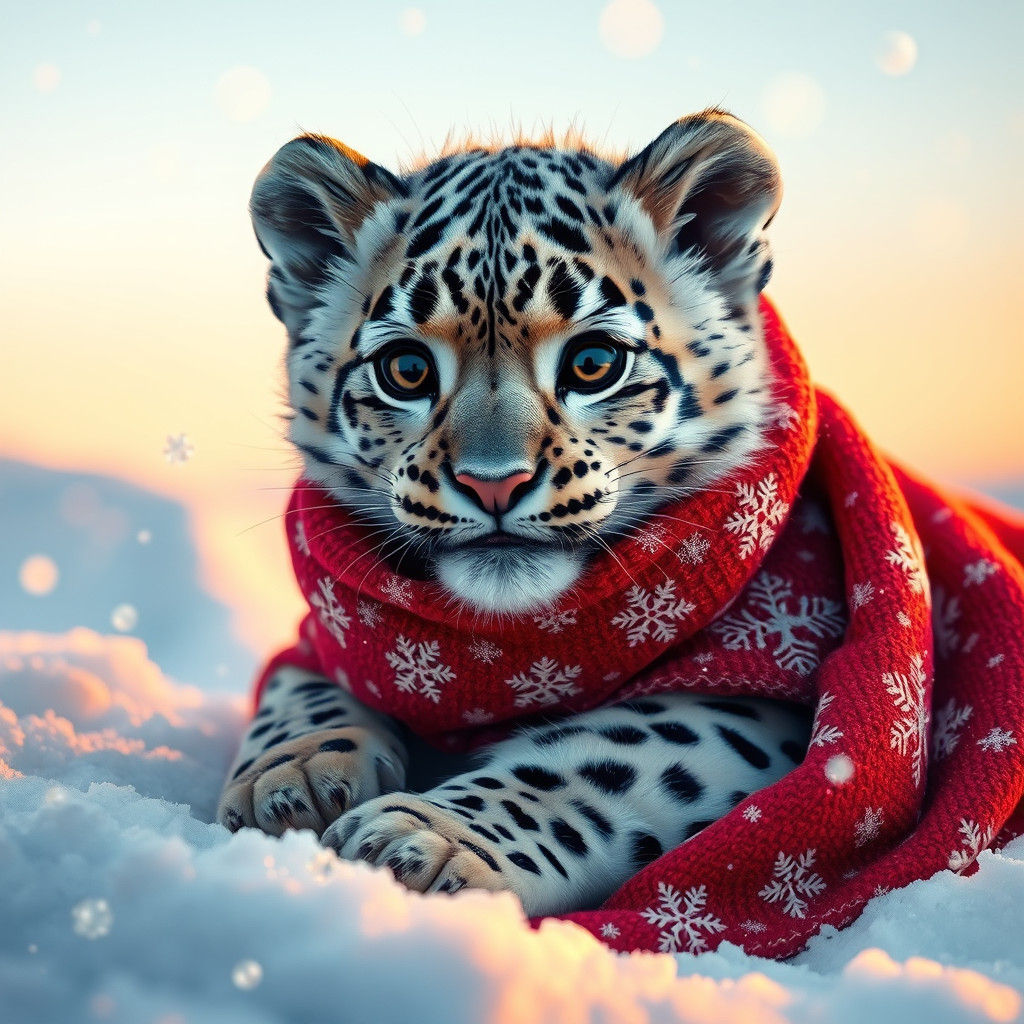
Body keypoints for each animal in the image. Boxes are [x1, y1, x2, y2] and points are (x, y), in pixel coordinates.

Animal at [218, 109, 814, 917]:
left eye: (594, 362)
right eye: (406, 370)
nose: (493, 483)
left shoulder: (756, 696)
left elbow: (598, 758)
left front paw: (422, 842)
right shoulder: (322, 639)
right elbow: (300, 686)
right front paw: (290, 779)